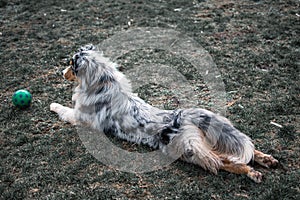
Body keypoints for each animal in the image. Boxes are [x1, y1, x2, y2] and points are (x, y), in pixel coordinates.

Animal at [50, 45, 278, 183]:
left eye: (70, 64)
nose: (60, 73)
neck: (103, 83)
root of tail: (183, 115)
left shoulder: (82, 119)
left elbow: (64, 110)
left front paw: (53, 105)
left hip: (189, 151)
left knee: (224, 162)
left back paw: (253, 172)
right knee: (240, 152)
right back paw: (266, 161)